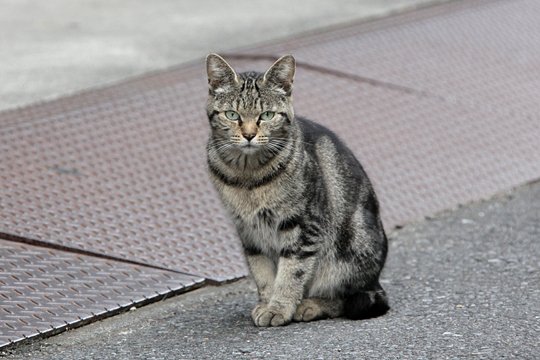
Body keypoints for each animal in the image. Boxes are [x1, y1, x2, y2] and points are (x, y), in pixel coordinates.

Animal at [206, 52, 388, 326]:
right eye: (232, 114)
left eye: (266, 115)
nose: (249, 135)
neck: (248, 177)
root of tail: (376, 280)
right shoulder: (248, 231)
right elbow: (262, 273)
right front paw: (266, 303)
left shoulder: (302, 226)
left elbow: (291, 272)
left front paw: (279, 308)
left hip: (351, 252)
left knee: (348, 298)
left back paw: (311, 305)